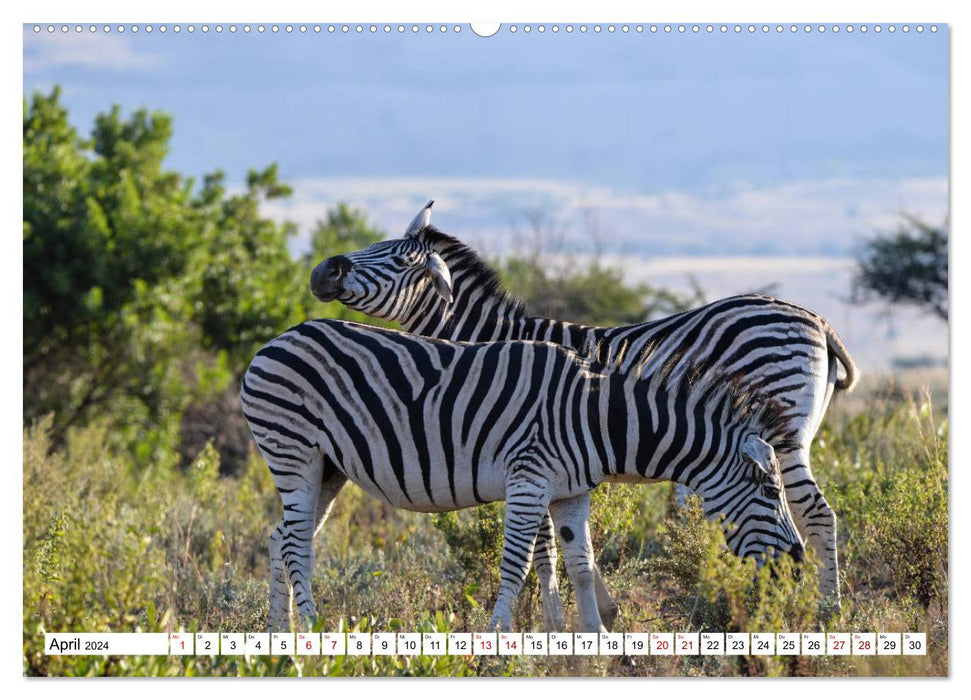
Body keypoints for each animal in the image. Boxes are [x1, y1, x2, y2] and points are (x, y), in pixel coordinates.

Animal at [243, 318, 804, 636]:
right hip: (293, 450)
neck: (597, 418)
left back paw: (279, 639)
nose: (797, 565)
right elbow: (514, 565)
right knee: (296, 545)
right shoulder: (529, 480)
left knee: (279, 539)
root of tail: (274, 341)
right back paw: (314, 632)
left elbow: (582, 563)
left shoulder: (572, 493)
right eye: (770, 489)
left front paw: (596, 642)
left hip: (329, 468)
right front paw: (498, 637)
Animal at [310, 201, 860, 612]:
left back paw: (824, 611)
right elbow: (558, 536)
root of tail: (815, 318)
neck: (486, 342)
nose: (322, 271)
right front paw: (600, 610)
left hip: (781, 428)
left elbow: (542, 544)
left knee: (817, 514)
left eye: (397, 260)